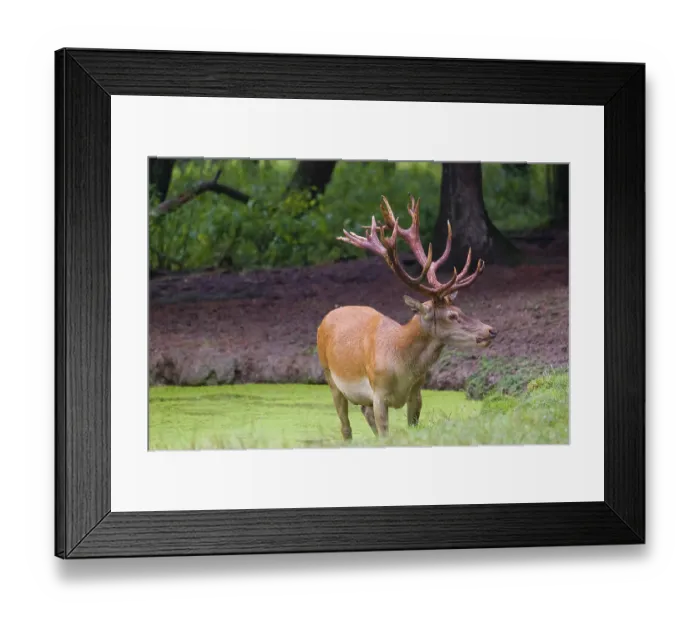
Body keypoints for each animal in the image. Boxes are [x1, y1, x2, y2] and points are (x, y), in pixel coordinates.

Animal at [316, 194, 497, 441]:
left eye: (461, 309)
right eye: (452, 315)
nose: (490, 330)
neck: (402, 367)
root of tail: (328, 315)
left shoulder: (417, 392)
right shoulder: (378, 392)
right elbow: (384, 432)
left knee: (364, 412)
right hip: (330, 376)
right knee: (345, 427)